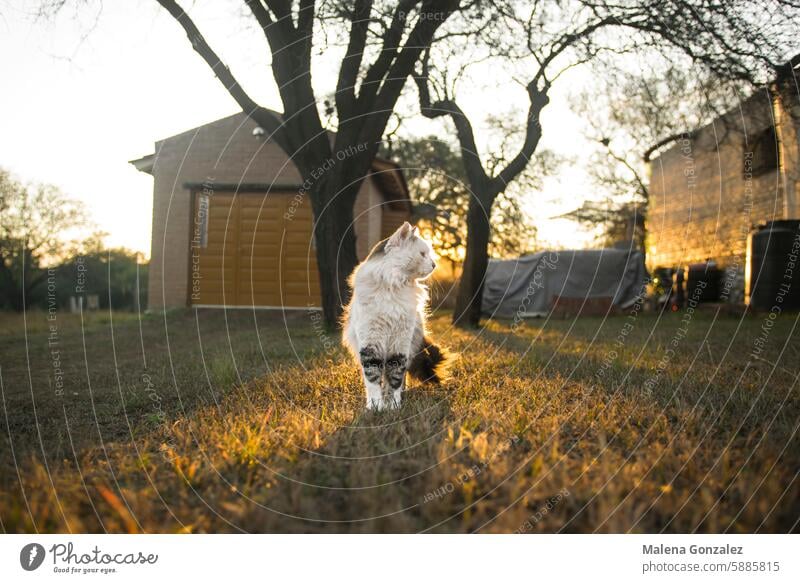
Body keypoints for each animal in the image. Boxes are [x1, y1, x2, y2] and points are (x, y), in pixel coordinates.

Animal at [342, 222, 450, 410]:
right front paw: (375, 407)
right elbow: (373, 379)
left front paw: (394, 406)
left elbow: (395, 379)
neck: (395, 286)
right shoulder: (371, 343)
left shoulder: (400, 345)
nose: (434, 265)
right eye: (423, 254)